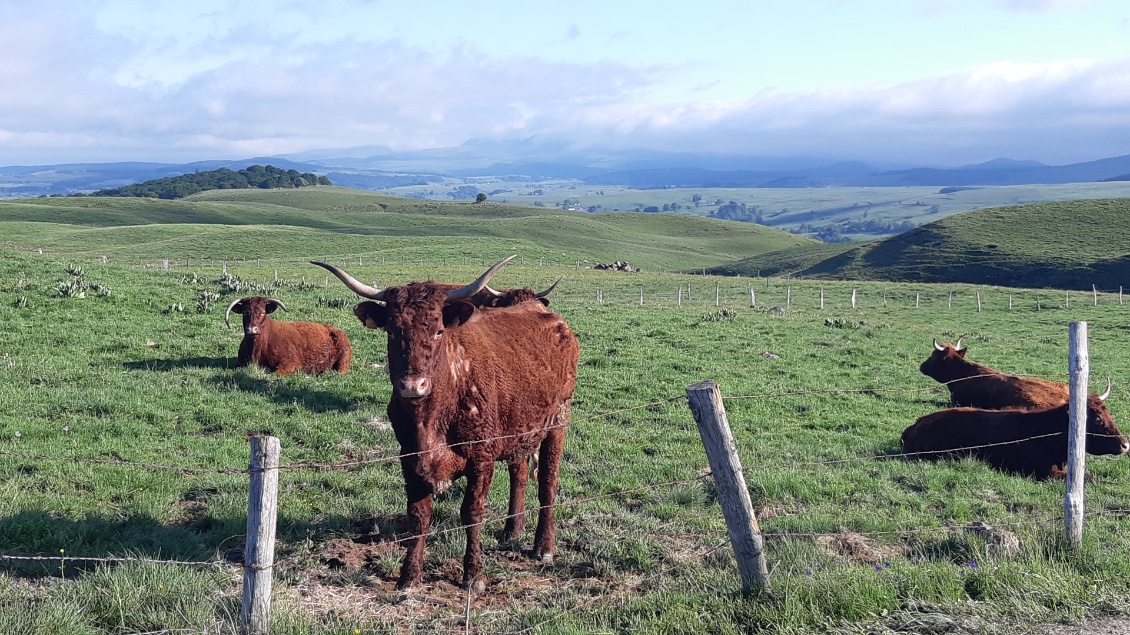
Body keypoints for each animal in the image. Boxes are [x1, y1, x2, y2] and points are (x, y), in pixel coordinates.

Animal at [311, 254, 583, 592]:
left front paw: (474, 575)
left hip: (558, 421)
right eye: (391, 331)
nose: (413, 386)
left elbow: (472, 512)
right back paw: (512, 530)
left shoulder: (481, 458)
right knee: (519, 474)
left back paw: (543, 546)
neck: (432, 416)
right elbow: (418, 516)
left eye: (439, 331)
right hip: (519, 428)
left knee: (548, 481)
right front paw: (408, 576)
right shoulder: (409, 457)